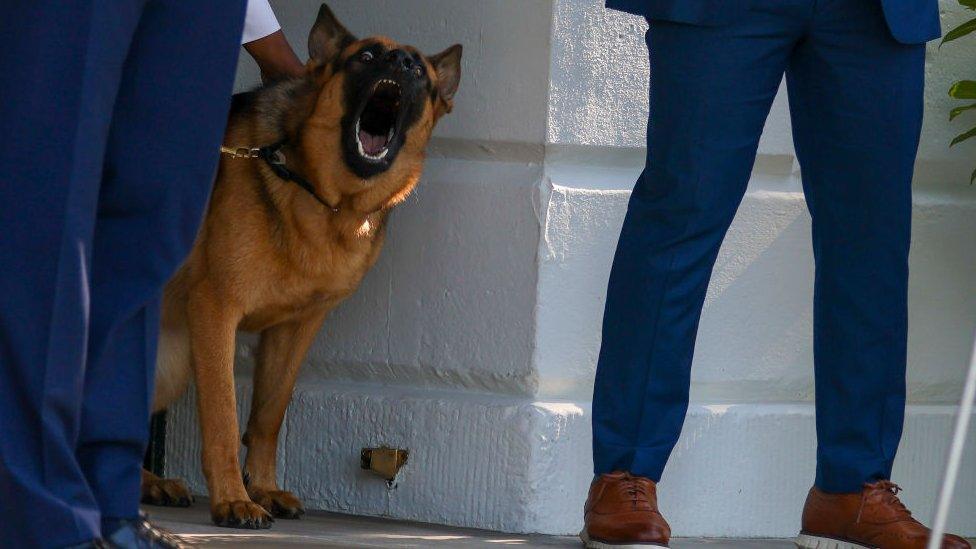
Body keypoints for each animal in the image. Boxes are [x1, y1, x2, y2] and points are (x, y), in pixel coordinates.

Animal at [139, 3, 464, 528]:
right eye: (365, 56)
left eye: (418, 70)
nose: (398, 63)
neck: (327, 199)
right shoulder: (215, 312)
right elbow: (225, 416)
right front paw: (233, 499)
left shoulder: (296, 329)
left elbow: (268, 415)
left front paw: (264, 488)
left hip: (170, 365)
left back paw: (150, 483)